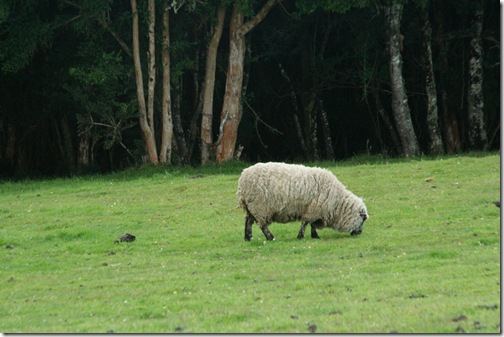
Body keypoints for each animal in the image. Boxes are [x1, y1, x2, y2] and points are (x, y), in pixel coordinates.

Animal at [238, 161, 368, 240]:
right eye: (363, 219)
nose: (359, 233)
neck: (337, 202)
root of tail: (243, 177)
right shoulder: (313, 209)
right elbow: (305, 223)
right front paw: (301, 236)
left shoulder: (315, 210)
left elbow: (312, 224)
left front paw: (315, 236)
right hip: (260, 207)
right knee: (262, 225)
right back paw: (270, 237)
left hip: (251, 206)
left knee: (248, 221)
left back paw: (248, 237)